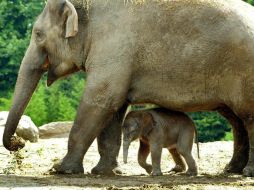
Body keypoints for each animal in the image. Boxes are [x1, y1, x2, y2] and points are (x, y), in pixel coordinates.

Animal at [2, 0, 254, 177]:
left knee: (248, 118)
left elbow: (101, 100)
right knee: (236, 120)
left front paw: (61, 169)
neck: (87, 7)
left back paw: (246, 172)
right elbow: (115, 108)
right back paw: (231, 170)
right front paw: (104, 172)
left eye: (37, 34)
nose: (18, 143)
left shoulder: (113, 48)